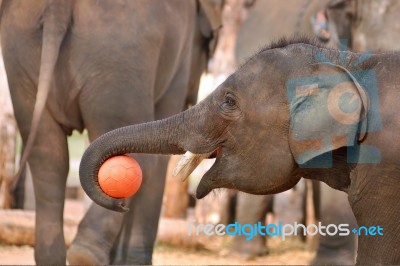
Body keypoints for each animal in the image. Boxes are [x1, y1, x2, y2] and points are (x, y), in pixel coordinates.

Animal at [0, 0, 220, 264]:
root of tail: (57, 6)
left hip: (22, 55)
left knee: (48, 157)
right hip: (119, 59)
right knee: (140, 158)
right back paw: (86, 255)